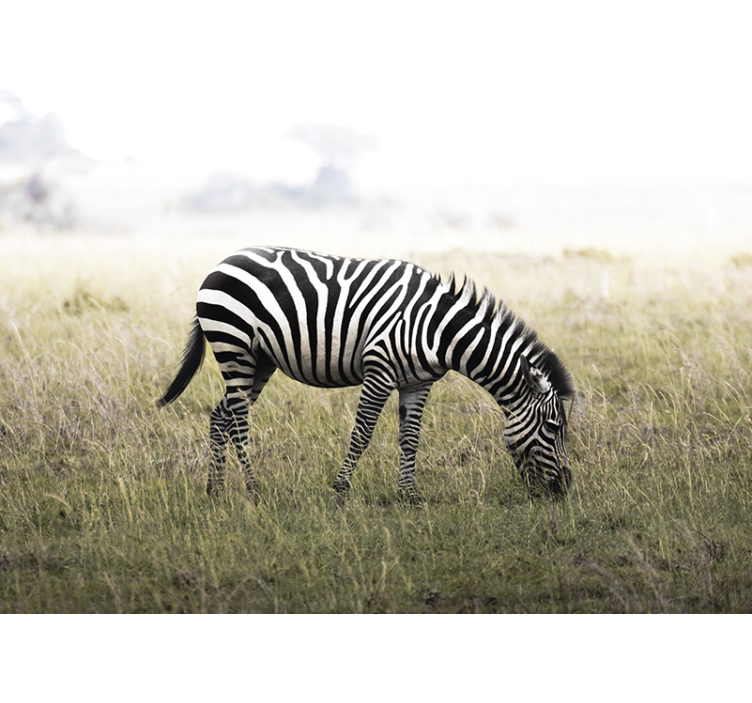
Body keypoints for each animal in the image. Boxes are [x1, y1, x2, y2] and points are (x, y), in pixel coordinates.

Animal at [158, 246, 575, 503]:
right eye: (553, 427)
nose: (565, 488)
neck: (440, 329)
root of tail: (222, 262)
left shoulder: (418, 382)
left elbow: (410, 438)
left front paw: (409, 495)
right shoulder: (379, 368)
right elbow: (362, 434)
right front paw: (340, 490)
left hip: (259, 360)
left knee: (221, 417)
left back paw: (215, 490)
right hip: (234, 347)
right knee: (240, 420)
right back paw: (253, 489)